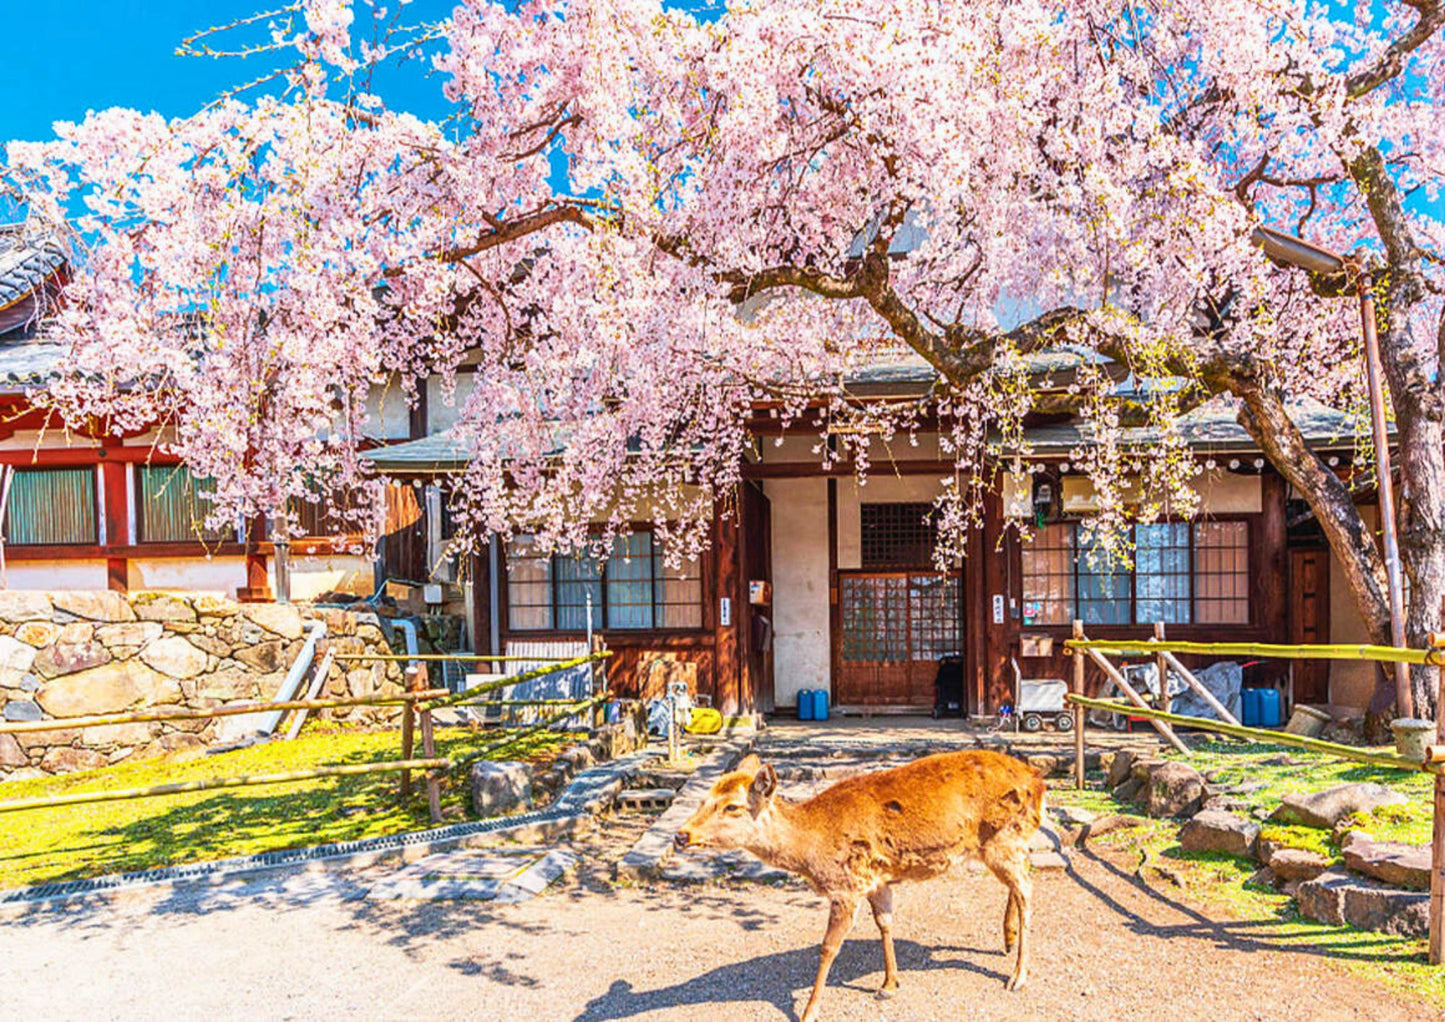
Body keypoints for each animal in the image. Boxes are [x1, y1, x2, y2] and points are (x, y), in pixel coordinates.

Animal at [670, 745, 1046, 1022]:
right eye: (703, 799)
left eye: (732, 807)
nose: (680, 835)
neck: (812, 849)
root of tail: (1038, 780)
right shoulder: (876, 879)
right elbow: (885, 923)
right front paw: (889, 983)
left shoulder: (845, 885)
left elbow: (828, 947)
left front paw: (809, 1011)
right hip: (1001, 844)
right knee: (1017, 886)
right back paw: (1007, 938)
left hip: (1004, 838)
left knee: (1027, 891)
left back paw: (1018, 975)